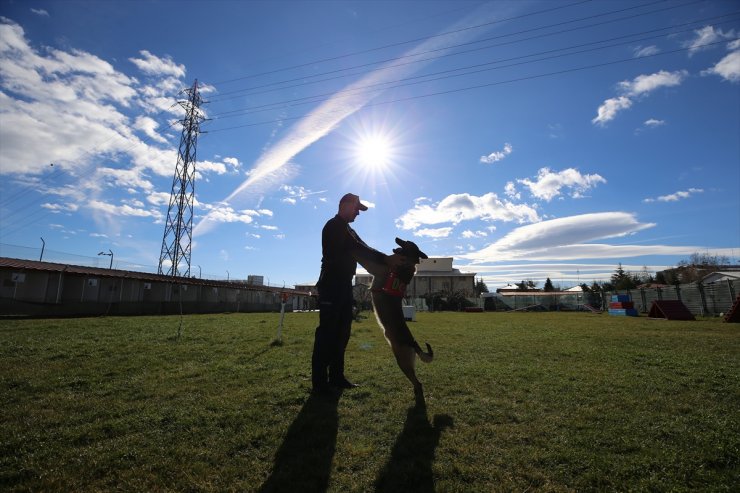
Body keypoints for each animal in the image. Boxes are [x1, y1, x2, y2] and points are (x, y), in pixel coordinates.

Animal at [362, 237, 436, 400]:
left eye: (406, 242)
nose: (396, 238)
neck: (406, 263)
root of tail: (413, 342)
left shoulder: (377, 269)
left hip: (403, 361)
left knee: (418, 383)